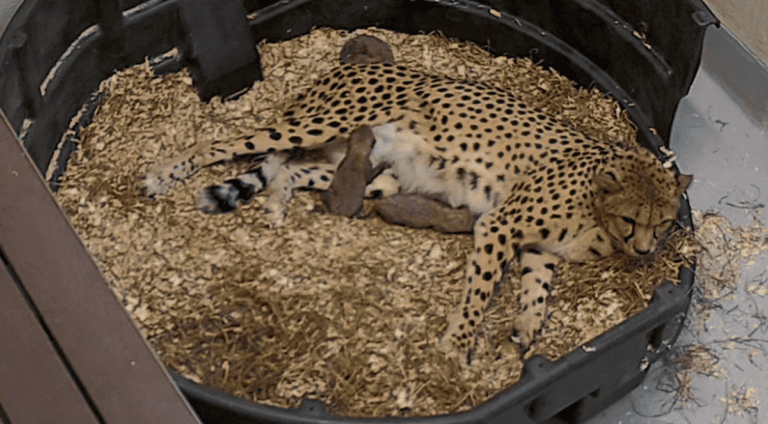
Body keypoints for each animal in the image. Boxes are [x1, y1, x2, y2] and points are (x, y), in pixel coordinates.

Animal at [141, 60, 692, 357]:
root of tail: (352, 66)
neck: (598, 212)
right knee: (226, 143)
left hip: (370, 171)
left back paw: (276, 205)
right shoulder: (500, 224)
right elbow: (480, 291)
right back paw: (165, 173)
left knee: (287, 173)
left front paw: (527, 329)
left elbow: (537, 289)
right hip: (317, 126)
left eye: (664, 223)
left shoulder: (539, 249)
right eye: (632, 220)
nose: (646, 251)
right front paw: (456, 344)